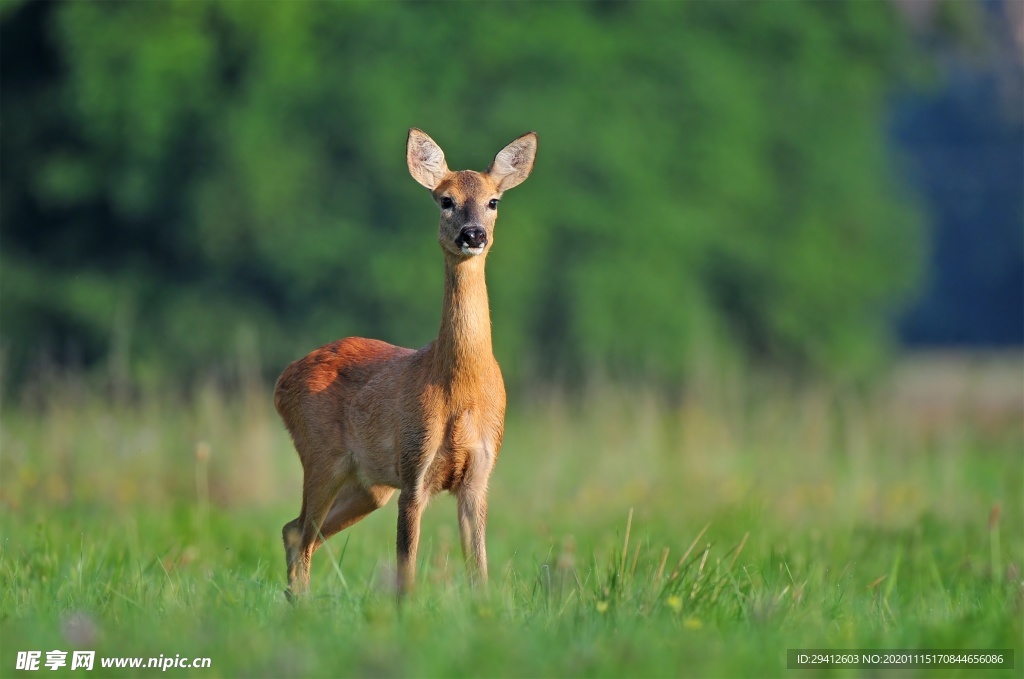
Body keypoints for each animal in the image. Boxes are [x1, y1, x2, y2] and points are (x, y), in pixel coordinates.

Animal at [276, 127, 540, 602]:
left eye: (494, 201)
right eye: (445, 200)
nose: (473, 234)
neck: (460, 387)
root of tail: (281, 380)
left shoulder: (479, 473)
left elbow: (479, 570)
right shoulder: (414, 467)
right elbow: (406, 571)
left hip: (369, 485)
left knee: (295, 530)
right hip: (322, 456)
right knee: (301, 535)